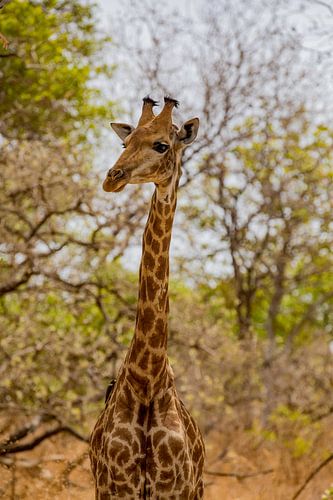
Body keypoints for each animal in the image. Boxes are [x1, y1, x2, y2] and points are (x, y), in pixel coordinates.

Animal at [90, 95, 205, 498]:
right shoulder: (114, 486)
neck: (147, 379)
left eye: (162, 145)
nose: (112, 178)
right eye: (126, 142)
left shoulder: (174, 488)